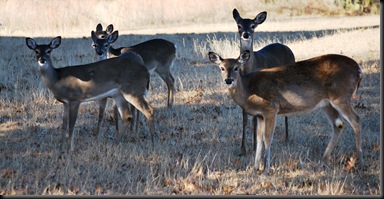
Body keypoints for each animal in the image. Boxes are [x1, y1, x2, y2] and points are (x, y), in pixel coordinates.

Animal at [25, 36, 155, 155]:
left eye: (49, 51)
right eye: (36, 51)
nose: (42, 60)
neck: (58, 79)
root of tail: (145, 71)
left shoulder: (75, 99)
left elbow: (71, 126)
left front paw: (68, 151)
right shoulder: (65, 103)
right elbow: (63, 126)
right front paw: (60, 150)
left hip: (132, 91)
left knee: (149, 110)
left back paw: (153, 141)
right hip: (119, 94)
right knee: (127, 115)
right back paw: (116, 142)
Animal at [210, 50, 364, 174]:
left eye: (236, 68)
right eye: (222, 68)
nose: (228, 80)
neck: (249, 90)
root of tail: (359, 69)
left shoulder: (271, 109)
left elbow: (267, 139)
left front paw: (266, 170)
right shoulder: (260, 115)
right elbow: (259, 139)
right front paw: (254, 168)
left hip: (341, 96)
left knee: (356, 120)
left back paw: (359, 161)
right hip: (327, 103)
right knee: (338, 125)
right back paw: (323, 159)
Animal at [231, 8, 296, 156]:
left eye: (253, 26)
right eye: (239, 25)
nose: (246, 34)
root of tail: (286, 47)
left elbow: (254, 121)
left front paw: (255, 147)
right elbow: (244, 119)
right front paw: (242, 149)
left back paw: (287, 138)